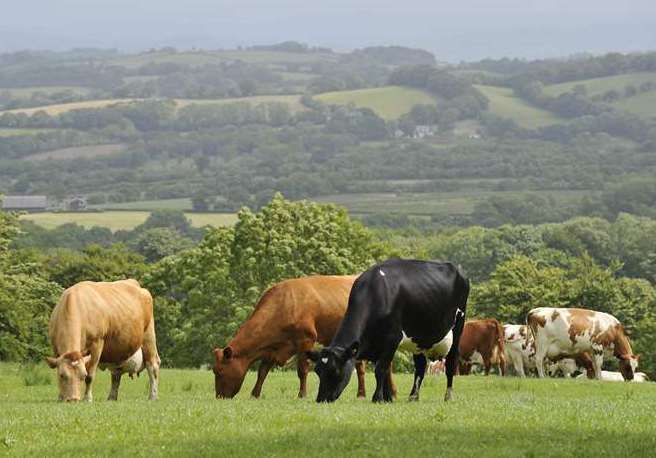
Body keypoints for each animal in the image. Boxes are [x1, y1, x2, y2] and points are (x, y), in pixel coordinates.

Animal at [213, 274, 392, 398]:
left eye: (219, 371)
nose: (219, 397)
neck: (283, 305)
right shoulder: (273, 347)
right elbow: (262, 371)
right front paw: (254, 394)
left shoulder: (306, 340)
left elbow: (302, 369)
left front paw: (302, 394)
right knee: (361, 366)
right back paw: (365, 394)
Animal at [308, 260, 472, 402]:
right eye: (317, 371)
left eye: (335, 371)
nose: (321, 399)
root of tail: (456, 269)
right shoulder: (378, 345)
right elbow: (386, 371)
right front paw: (387, 398)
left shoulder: (392, 339)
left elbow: (380, 369)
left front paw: (377, 398)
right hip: (419, 340)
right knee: (420, 367)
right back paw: (413, 397)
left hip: (458, 328)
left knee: (450, 363)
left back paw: (448, 396)